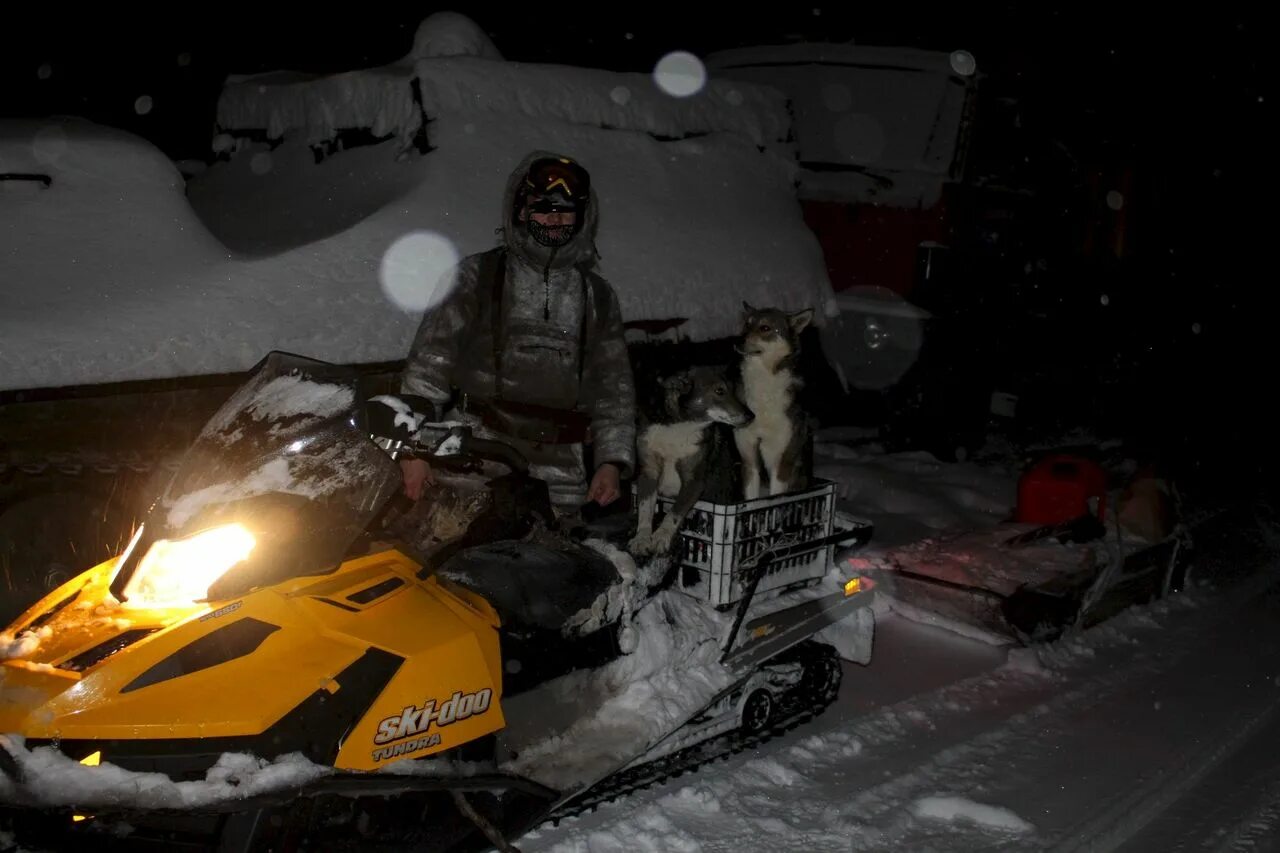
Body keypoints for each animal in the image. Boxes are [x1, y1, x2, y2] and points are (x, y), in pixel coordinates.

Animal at [627, 361, 747, 555]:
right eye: (719, 391)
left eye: (733, 390)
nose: (751, 416)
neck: (681, 425)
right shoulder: (648, 474)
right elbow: (645, 510)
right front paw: (642, 538)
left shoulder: (693, 482)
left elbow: (674, 513)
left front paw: (661, 537)